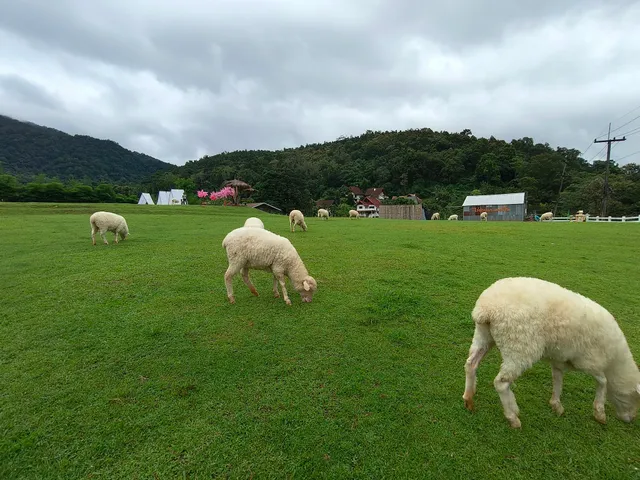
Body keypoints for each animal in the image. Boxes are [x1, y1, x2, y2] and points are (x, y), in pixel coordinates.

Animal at [462, 276, 640, 428]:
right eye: (636, 398)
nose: (630, 419)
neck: (615, 360)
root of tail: (486, 309)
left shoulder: (560, 359)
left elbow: (557, 379)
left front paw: (556, 405)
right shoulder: (589, 361)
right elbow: (603, 382)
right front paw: (600, 413)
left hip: (484, 336)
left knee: (471, 364)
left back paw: (469, 400)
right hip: (519, 348)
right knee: (501, 383)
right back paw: (512, 417)